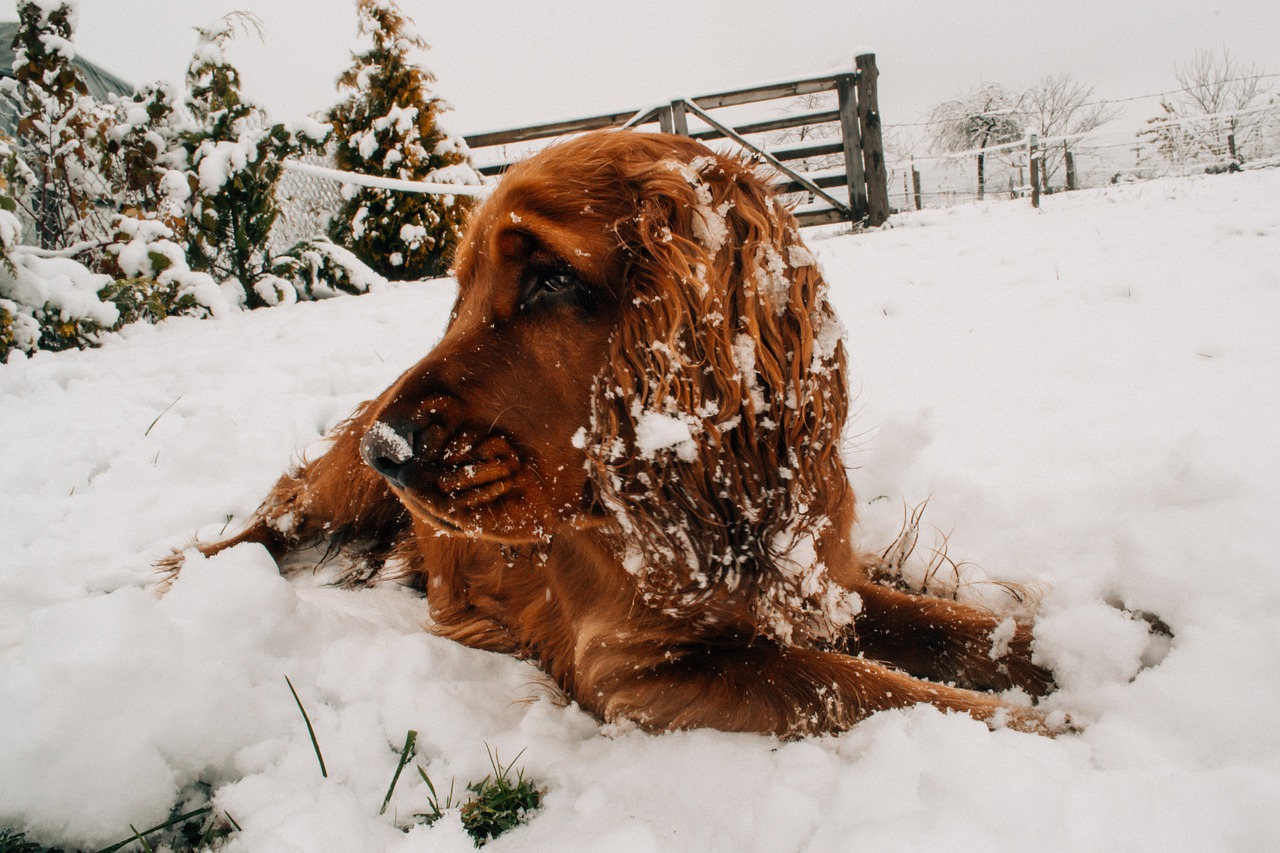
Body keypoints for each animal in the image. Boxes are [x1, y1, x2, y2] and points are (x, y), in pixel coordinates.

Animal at [185, 129, 1054, 732]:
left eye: (551, 278)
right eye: (461, 290)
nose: (385, 449)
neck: (711, 508)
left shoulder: (822, 583)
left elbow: (958, 627)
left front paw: (1066, 654)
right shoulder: (636, 671)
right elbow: (852, 684)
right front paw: (1034, 726)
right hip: (333, 488)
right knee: (270, 517)